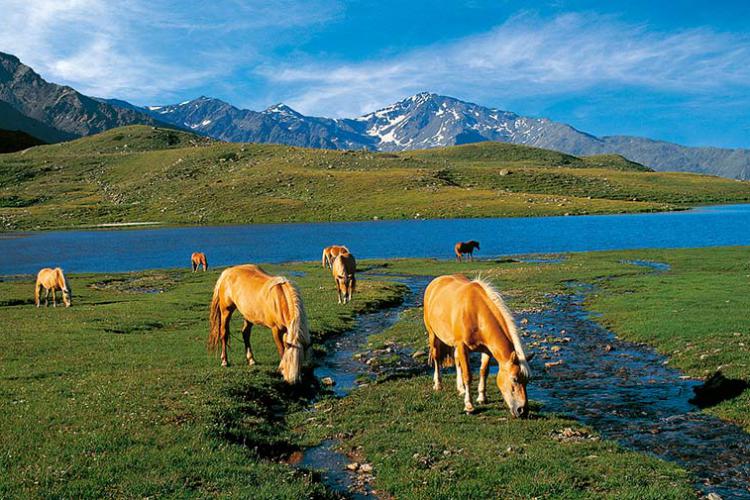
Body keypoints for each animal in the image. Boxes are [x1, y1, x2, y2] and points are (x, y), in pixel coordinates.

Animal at [424, 276, 536, 416]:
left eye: (527, 381)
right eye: (514, 379)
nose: (523, 410)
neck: (476, 314)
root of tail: (435, 282)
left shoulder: (487, 350)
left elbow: (484, 371)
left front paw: (482, 397)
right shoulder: (462, 346)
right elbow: (468, 375)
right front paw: (469, 406)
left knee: (457, 361)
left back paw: (460, 388)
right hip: (433, 335)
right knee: (436, 357)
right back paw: (438, 384)